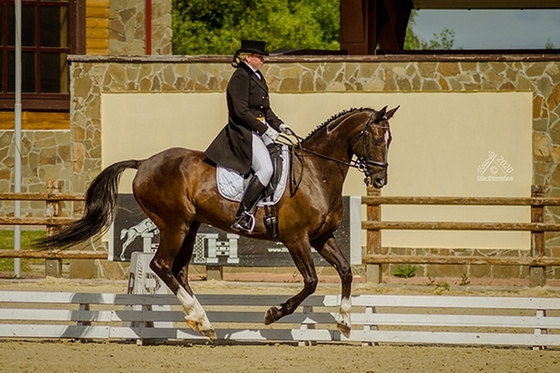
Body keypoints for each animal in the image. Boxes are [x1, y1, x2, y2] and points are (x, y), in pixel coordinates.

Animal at [38, 103, 398, 338]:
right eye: (374, 138)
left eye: (390, 140)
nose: (380, 180)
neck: (316, 173)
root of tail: (145, 162)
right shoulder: (296, 238)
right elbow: (310, 281)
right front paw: (273, 314)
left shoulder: (322, 237)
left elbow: (346, 271)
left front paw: (345, 321)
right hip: (175, 224)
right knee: (161, 266)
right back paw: (199, 318)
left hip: (190, 226)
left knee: (179, 270)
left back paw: (202, 321)